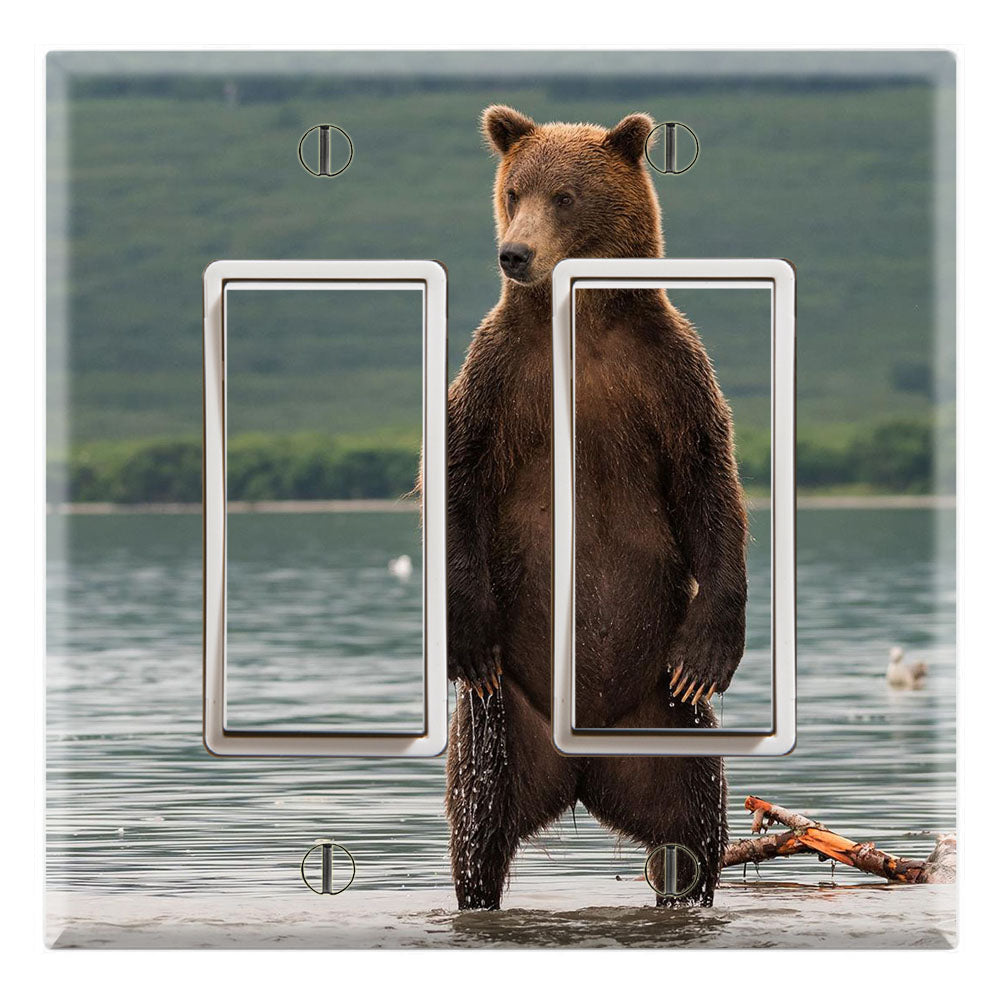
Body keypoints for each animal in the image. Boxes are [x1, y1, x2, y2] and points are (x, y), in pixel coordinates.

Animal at [448, 105, 752, 912]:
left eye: (564, 197)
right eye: (514, 190)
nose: (514, 255)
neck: (581, 321)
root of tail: (581, 772)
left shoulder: (667, 372)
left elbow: (710, 486)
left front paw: (711, 652)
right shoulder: (499, 375)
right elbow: (457, 478)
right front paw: (467, 637)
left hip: (664, 721)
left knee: (691, 827)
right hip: (504, 724)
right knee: (477, 824)